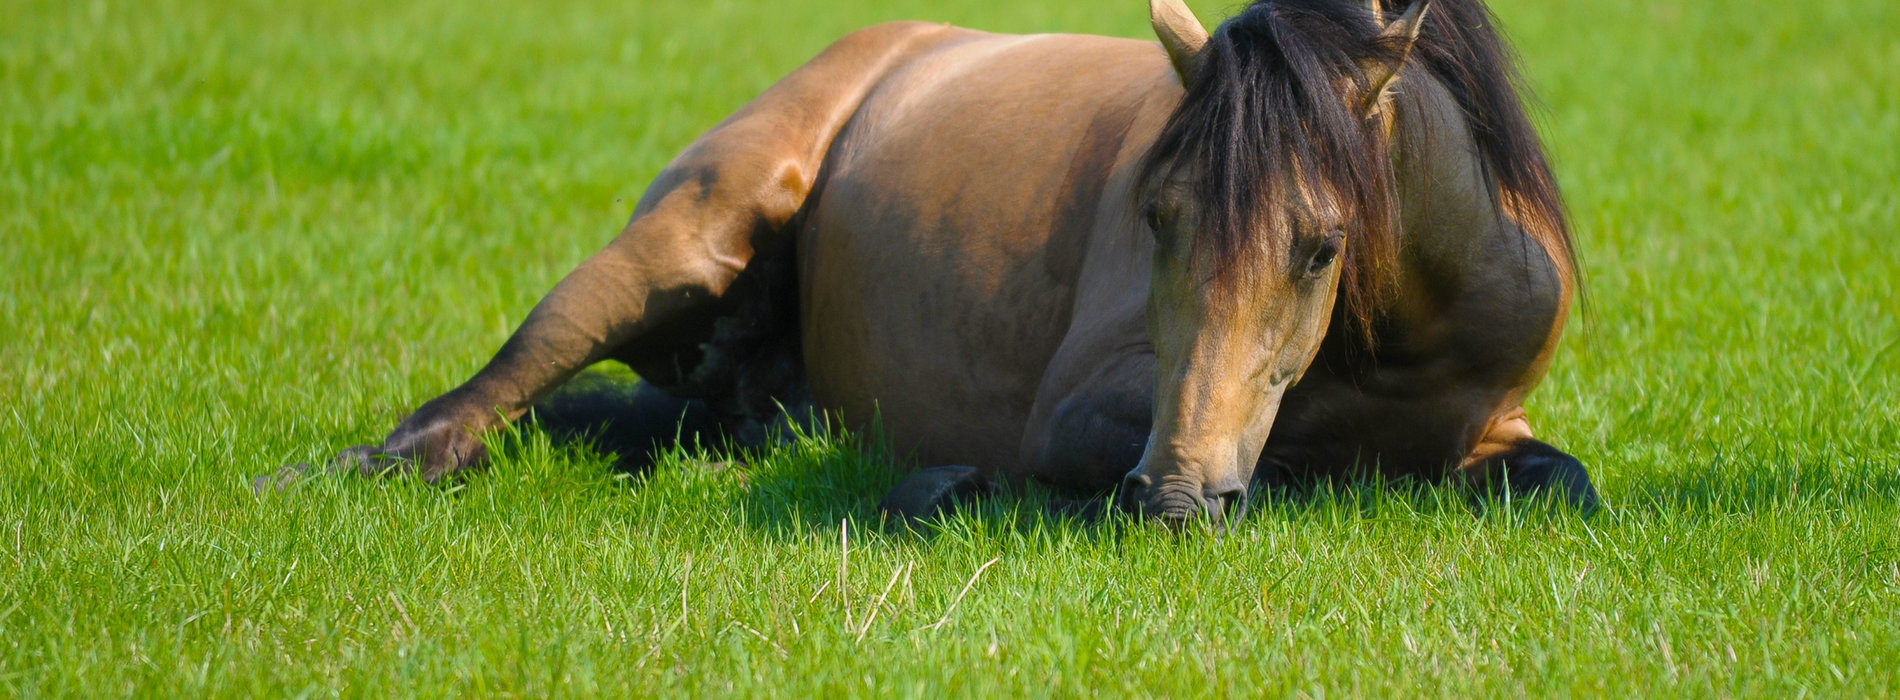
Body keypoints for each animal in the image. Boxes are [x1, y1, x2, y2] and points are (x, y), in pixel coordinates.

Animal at [275, 0, 1596, 525]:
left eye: (1321, 244)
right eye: (1154, 216)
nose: (1175, 498)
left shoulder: (1497, 426)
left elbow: (1557, 480)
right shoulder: (1088, 409)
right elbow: (1255, 466)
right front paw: (950, 486)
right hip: (677, 246)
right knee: (471, 407)